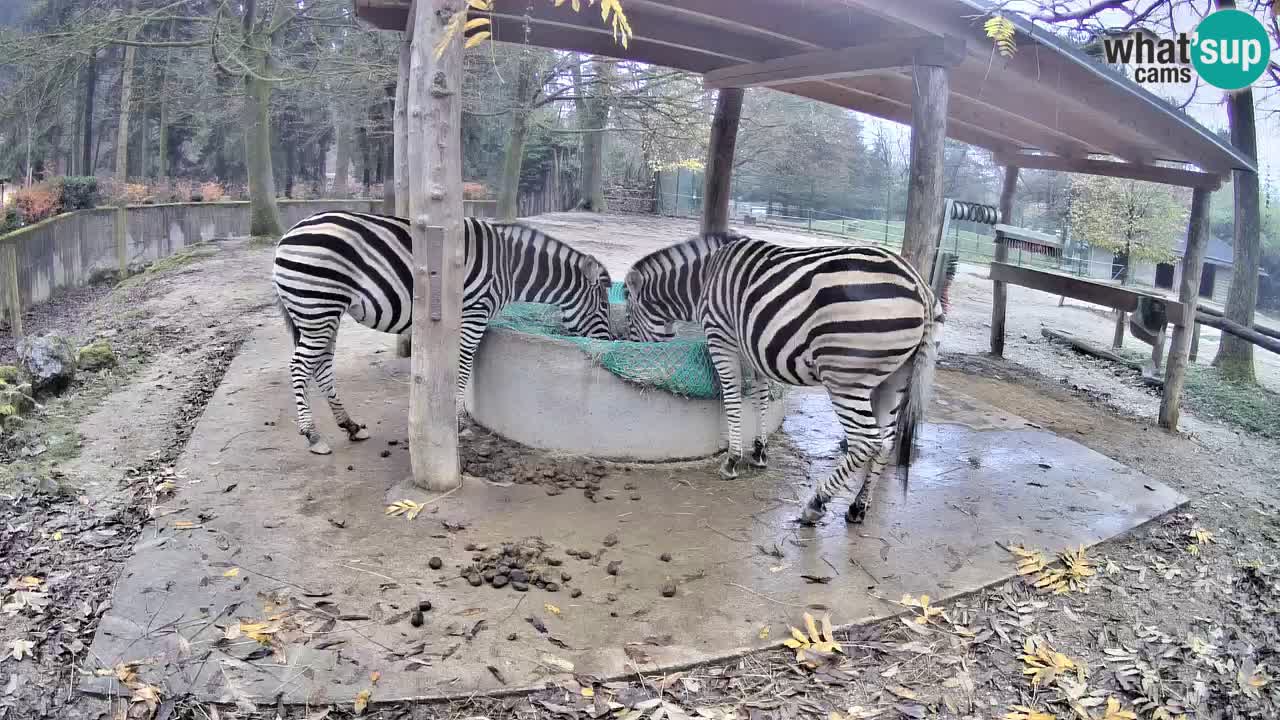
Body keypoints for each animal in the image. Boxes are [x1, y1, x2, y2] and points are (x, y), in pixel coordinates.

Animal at [272, 211, 614, 455]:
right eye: (605, 307)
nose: (610, 344)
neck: (509, 268)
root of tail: (288, 234)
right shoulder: (474, 313)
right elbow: (463, 366)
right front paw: (459, 420)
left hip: (321, 312)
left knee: (321, 366)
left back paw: (351, 425)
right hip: (318, 306)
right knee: (300, 366)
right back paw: (313, 435)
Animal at [624, 233, 945, 525]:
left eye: (628, 318)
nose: (629, 347)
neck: (704, 279)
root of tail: (920, 286)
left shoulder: (721, 335)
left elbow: (732, 394)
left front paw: (732, 459)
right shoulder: (751, 346)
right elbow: (761, 396)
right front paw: (759, 450)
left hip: (846, 378)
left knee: (866, 442)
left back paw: (816, 504)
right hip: (896, 378)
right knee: (887, 441)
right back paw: (858, 507)